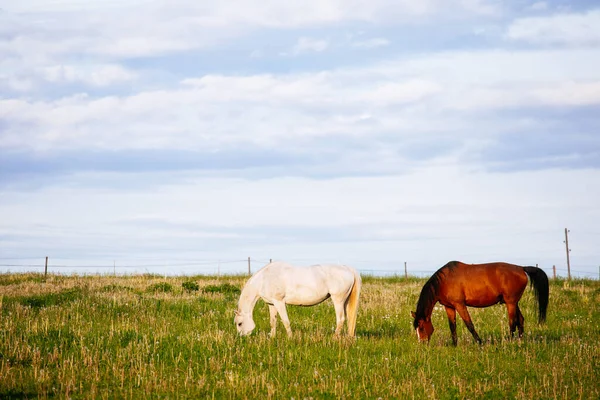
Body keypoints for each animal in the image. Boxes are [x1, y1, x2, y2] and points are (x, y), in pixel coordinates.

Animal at [412, 260, 548, 346]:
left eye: (421, 327)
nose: (422, 344)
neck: (444, 281)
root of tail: (521, 268)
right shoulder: (449, 307)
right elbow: (452, 326)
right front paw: (454, 345)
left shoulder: (460, 305)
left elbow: (469, 324)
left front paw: (479, 342)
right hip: (514, 303)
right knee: (520, 320)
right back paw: (520, 341)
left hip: (511, 303)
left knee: (512, 323)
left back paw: (510, 341)